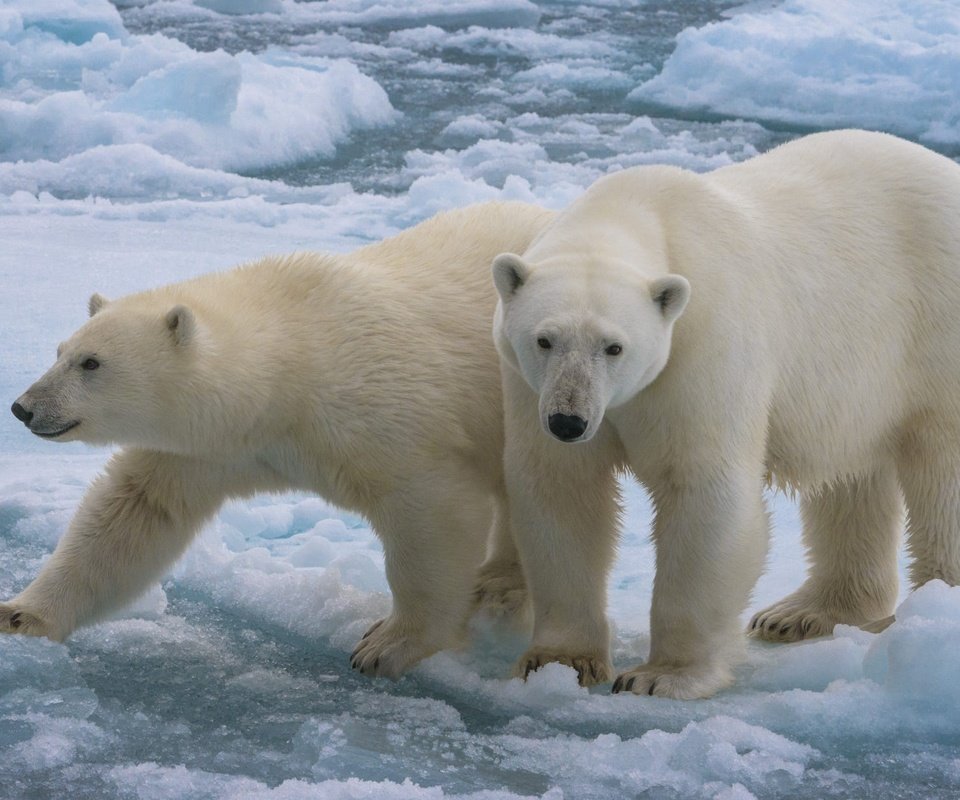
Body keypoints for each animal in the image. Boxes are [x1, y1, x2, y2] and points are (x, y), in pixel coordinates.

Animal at [5, 203, 556, 680]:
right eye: (60, 351)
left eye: (91, 362)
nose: (23, 407)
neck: (290, 366)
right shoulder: (209, 449)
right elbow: (134, 513)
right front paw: (19, 615)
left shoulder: (385, 415)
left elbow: (432, 513)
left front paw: (386, 645)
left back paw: (502, 588)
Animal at [492, 131, 960, 700]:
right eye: (544, 339)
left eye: (614, 347)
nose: (569, 422)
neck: (638, 211)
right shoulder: (527, 385)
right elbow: (561, 490)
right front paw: (558, 662)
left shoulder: (704, 344)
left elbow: (702, 489)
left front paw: (660, 675)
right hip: (859, 381)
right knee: (851, 477)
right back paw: (801, 613)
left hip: (933, 324)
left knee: (941, 472)